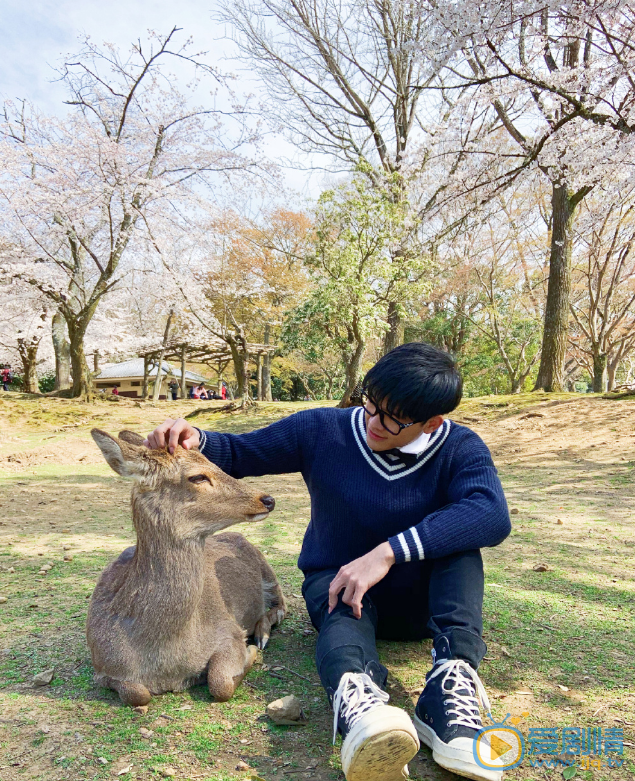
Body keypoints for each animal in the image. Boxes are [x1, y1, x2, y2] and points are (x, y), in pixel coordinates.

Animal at [87, 426, 286, 708]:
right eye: (198, 476)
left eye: (214, 463)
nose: (267, 499)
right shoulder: (103, 666)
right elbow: (137, 694)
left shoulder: (228, 629)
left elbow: (220, 683)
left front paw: (251, 652)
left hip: (266, 567)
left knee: (281, 605)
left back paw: (262, 634)